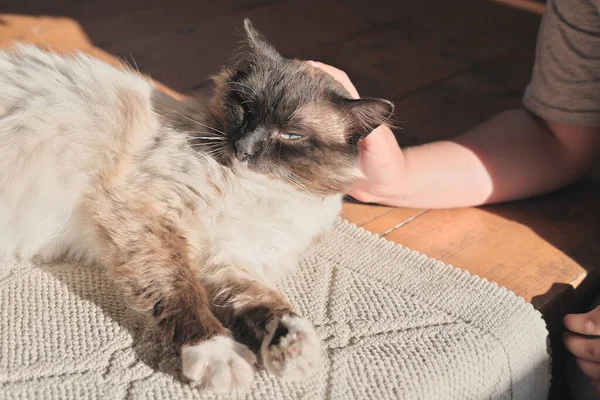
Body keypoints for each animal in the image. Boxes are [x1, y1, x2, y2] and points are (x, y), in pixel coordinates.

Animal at [0, 19, 394, 394]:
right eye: (245, 109)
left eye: (291, 135)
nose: (244, 148)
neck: (261, 190)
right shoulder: (150, 219)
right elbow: (182, 292)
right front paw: (220, 355)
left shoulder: (230, 260)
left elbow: (269, 303)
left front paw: (294, 349)